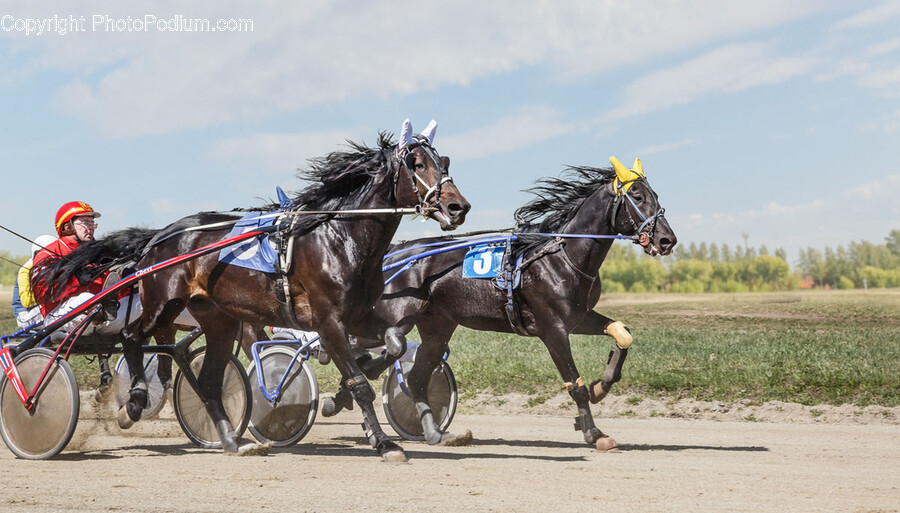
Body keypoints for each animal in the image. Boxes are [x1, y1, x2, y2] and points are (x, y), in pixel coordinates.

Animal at [40, 121, 472, 460]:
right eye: (417, 164)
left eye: (446, 162)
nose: (458, 207)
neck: (339, 237)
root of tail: (161, 234)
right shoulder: (328, 320)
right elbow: (361, 385)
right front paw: (383, 442)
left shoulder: (359, 316)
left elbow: (395, 343)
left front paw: (342, 397)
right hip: (163, 302)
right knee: (132, 337)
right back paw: (133, 404)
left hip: (218, 320)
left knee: (209, 380)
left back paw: (233, 439)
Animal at [338, 155, 676, 448]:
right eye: (637, 196)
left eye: (655, 195)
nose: (666, 240)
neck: (562, 257)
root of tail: (395, 252)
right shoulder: (553, 329)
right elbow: (575, 385)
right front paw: (594, 433)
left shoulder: (578, 318)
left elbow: (622, 333)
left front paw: (601, 386)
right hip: (394, 316)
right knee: (365, 346)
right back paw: (346, 390)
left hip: (437, 327)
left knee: (416, 376)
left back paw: (433, 432)